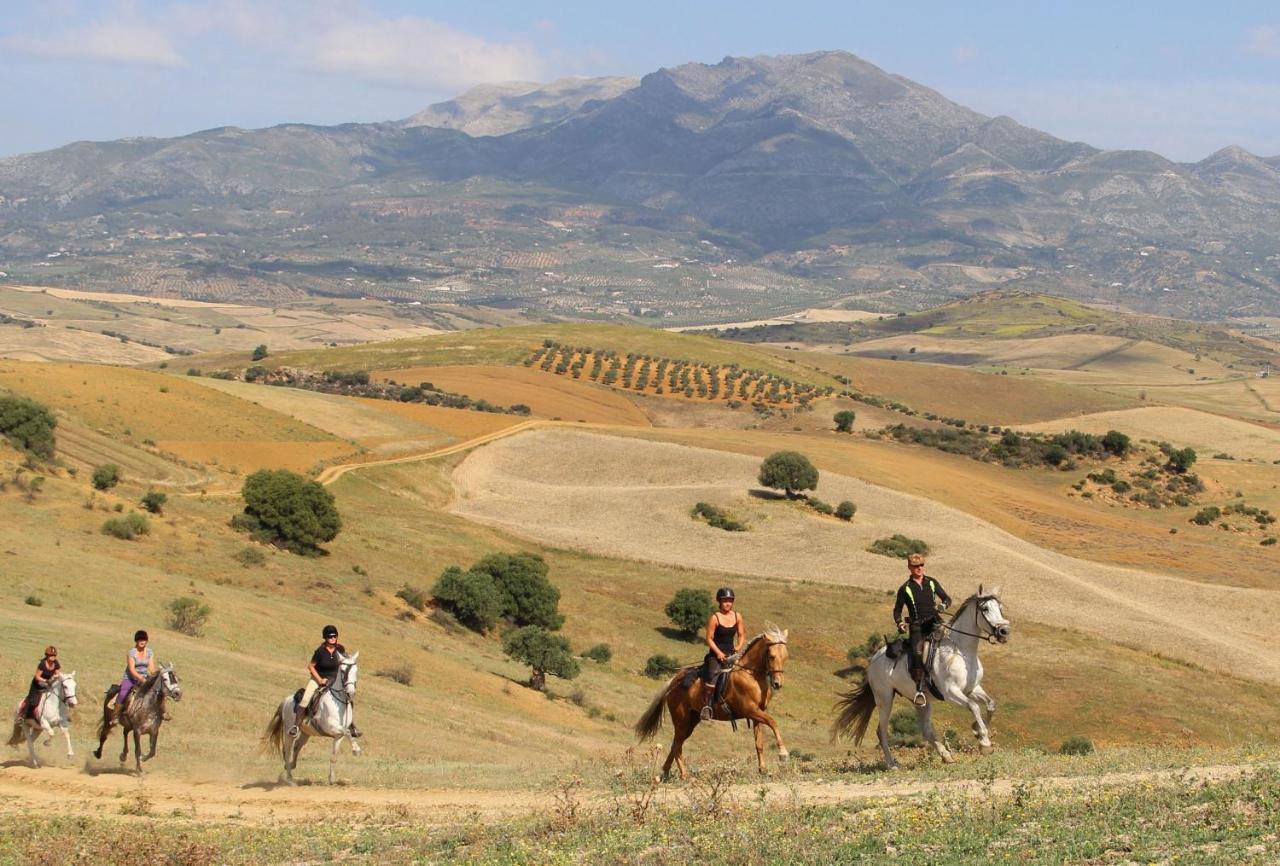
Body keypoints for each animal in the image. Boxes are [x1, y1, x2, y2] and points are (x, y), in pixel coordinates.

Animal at [261, 649, 358, 782]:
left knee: (297, 746)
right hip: (289, 732)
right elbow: (347, 732)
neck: (338, 703)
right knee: (288, 751)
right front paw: (356, 750)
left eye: (356, 671)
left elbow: (334, 756)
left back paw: (291, 766)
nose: (350, 692)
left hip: (306, 733)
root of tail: (286, 701)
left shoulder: (338, 735)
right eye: (343, 671)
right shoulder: (330, 727)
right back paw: (289, 778)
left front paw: (331, 779)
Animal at [632, 621, 783, 777]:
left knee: (676, 744)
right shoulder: (750, 710)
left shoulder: (756, 714)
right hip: (681, 719)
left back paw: (665, 773)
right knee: (677, 746)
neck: (749, 674)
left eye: (785, 656)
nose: (777, 683)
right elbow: (773, 722)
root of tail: (674, 682)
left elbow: (759, 743)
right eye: (771, 656)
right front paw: (782, 753)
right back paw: (686, 776)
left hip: (691, 720)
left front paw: (763, 769)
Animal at [829, 583, 1008, 767]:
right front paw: (984, 742)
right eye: (985, 608)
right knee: (882, 731)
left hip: (920, 701)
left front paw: (978, 731)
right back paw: (893, 764)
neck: (961, 651)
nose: (1004, 631)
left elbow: (990, 704)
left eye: (1000, 608)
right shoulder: (951, 693)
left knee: (926, 730)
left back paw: (946, 756)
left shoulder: (972, 689)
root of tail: (873, 661)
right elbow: (974, 706)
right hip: (884, 699)